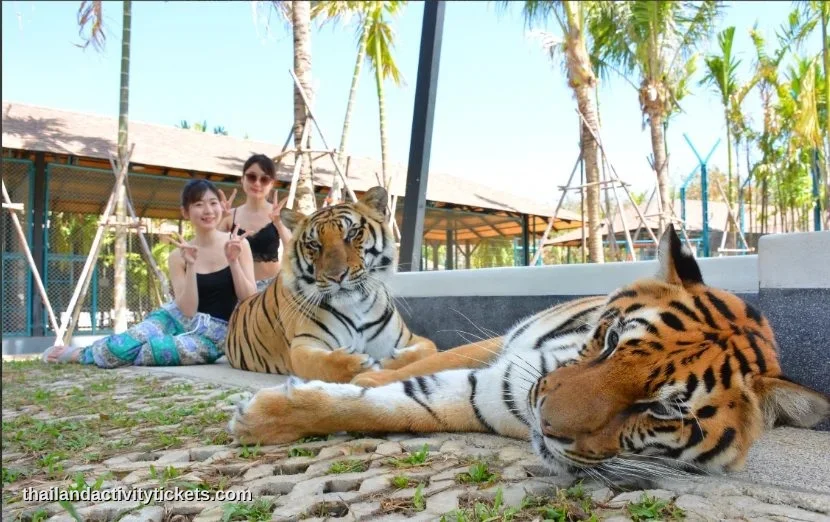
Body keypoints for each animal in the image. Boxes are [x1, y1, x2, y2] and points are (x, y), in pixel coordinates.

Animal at [223, 186, 438, 383]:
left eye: (352, 233)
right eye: (314, 244)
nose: (336, 276)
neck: (356, 306)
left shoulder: (410, 339)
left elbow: (428, 350)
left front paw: (391, 360)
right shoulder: (303, 345)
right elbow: (327, 364)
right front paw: (364, 364)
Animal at [228, 224, 829, 478]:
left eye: (661, 410)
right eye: (612, 340)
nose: (545, 420)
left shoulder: (485, 397)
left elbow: (395, 408)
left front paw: (261, 415)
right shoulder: (498, 352)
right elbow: (410, 375)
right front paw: (263, 414)